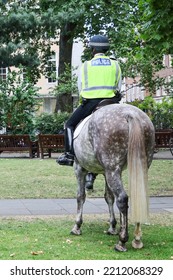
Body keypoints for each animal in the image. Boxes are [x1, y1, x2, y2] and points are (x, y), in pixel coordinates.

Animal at [71, 103, 155, 252]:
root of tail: (130, 113)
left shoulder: (80, 169)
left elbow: (80, 196)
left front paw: (77, 226)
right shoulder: (106, 172)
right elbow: (109, 197)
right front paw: (112, 226)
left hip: (112, 169)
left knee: (122, 198)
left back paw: (122, 241)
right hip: (138, 167)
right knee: (138, 196)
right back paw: (137, 238)